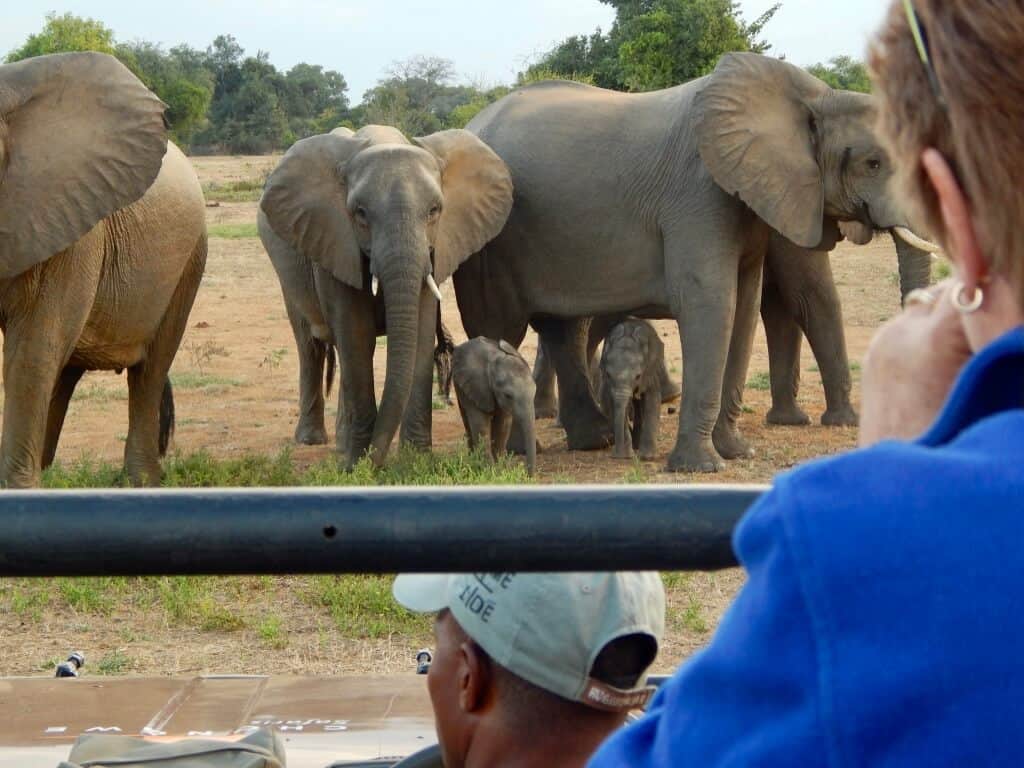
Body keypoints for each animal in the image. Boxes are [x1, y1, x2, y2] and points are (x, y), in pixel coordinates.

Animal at [0, 54, 208, 489]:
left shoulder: (69, 223)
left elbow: (32, 349)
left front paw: (17, 489)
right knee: (64, 370)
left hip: (189, 259)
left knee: (150, 368)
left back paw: (141, 481)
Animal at [258, 124, 509, 468]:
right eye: (360, 214)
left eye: (434, 211)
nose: (372, 464)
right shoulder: (335, 238)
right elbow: (355, 332)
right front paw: (356, 464)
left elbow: (419, 334)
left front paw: (415, 462)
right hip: (288, 266)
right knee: (310, 343)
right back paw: (314, 440)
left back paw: (341, 443)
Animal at [454, 337, 536, 475]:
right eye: (508, 395)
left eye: (535, 390)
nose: (527, 475)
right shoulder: (476, 387)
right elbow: (481, 425)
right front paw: (489, 472)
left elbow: (503, 426)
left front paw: (501, 470)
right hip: (459, 387)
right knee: (466, 421)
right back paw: (472, 462)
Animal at [598, 319, 663, 462]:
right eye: (608, 375)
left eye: (638, 376)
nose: (616, 455)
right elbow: (613, 404)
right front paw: (625, 456)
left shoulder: (649, 370)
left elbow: (652, 401)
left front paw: (647, 457)